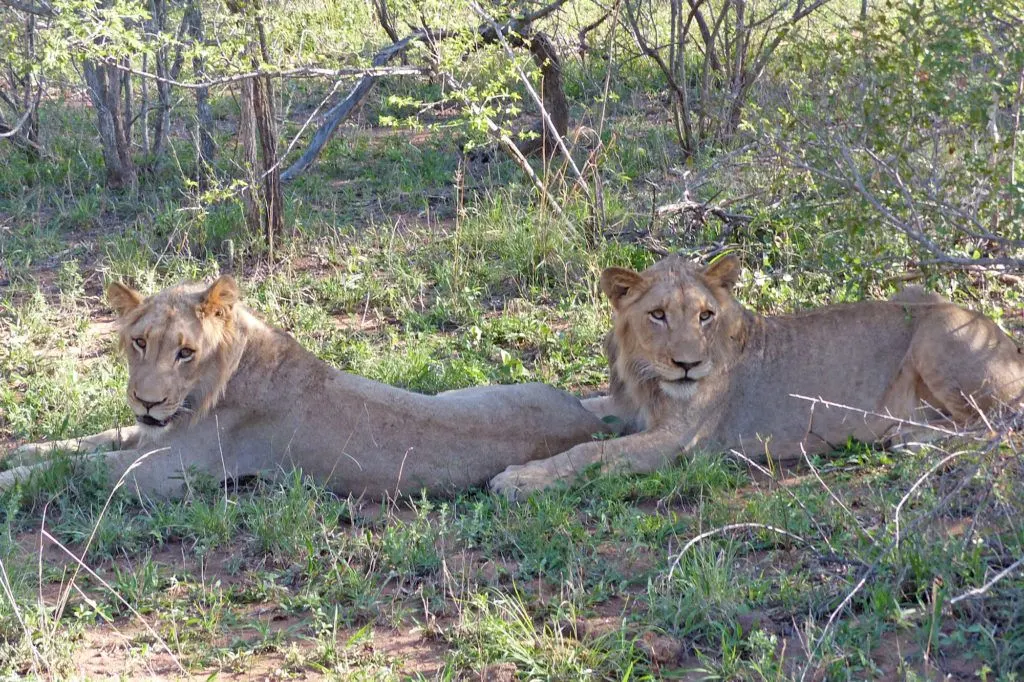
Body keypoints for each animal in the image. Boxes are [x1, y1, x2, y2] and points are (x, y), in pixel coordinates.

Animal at [0, 276, 608, 498]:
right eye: (139, 342)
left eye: (185, 351)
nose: (147, 400)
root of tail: (585, 420)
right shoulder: (153, 435)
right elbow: (82, 443)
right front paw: (25, 449)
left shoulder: (168, 471)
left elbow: (75, 468)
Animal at [490, 255, 1024, 497]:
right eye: (658, 315)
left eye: (705, 315)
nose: (688, 364)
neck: (647, 377)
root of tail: (1011, 345)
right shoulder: (629, 408)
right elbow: (585, 413)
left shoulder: (679, 440)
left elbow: (592, 453)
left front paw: (519, 476)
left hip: (938, 329)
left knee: (994, 424)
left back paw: (911, 437)